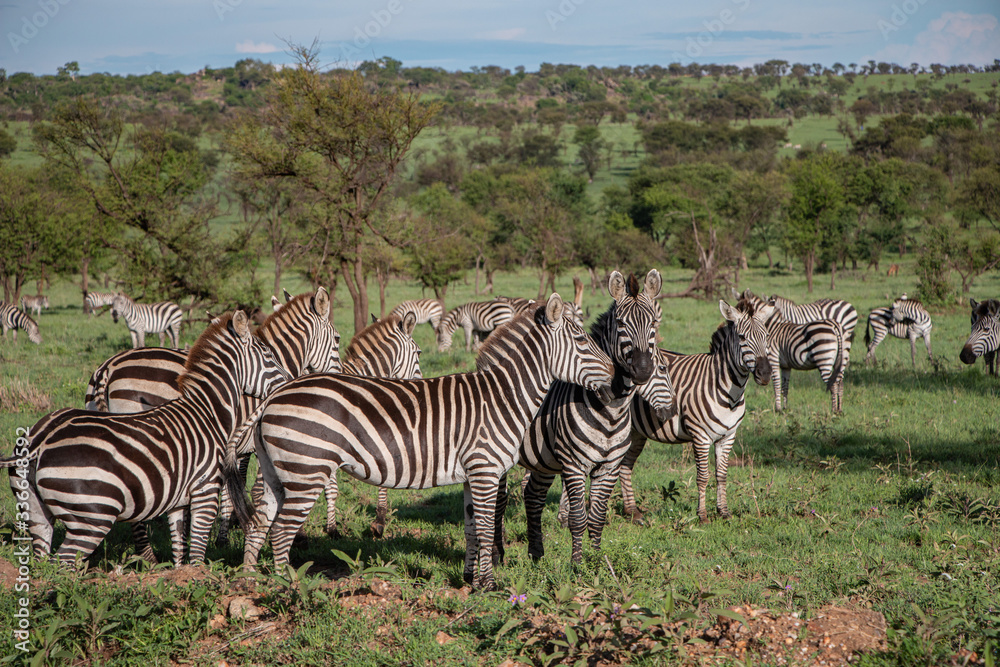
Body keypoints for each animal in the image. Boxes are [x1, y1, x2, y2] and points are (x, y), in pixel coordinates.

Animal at [1, 311, 290, 566]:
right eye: (268, 354)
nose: (290, 382)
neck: (208, 411)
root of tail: (40, 441)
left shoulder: (177, 502)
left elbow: (179, 549)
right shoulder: (206, 488)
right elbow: (197, 552)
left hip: (35, 512)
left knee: (43, 561)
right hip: (92, 516)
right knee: (63, 564)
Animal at [81, 289, 341, 561]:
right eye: (337, 339)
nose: (338, 377)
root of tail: (108, 368)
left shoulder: (237, 446)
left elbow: (233, 486)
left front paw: (225, 532)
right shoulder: (256, 443)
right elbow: (262, 489)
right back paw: (148, 556)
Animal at [225, 293, 615, 591]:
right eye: (582, 341)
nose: (616, 375)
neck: (503, 396)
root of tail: (270, 398)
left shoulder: (471, 476)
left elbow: (472, 529)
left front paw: (470, 580)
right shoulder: (486, 470)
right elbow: (487, 528)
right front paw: (489, 585)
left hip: (279, 472)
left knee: (259, 524)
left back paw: (248, 584)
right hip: (307, 470)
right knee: (280, 532)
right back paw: (287, 588)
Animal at [511, 271, 675, 563]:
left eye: (654, 323)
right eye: (621, 323)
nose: (643, 370)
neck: (612, 411)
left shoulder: (609, 467)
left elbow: (597, 519)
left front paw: (598, 563)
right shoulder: (573, 465)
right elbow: (578, 519)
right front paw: (577, 565)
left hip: (543, 459)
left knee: (533, 495)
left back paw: (536, 554)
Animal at [618, 296, 775, 523]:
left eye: (767, 337)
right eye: (742, 337)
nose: (765, 374)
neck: (729, 392)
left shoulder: (728, 436)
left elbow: (721, 475)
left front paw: (723, 512)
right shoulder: (700, 436)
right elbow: (703, 477)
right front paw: (702, 515)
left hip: (636, 431)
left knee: (625, 465)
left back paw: (632, 511)